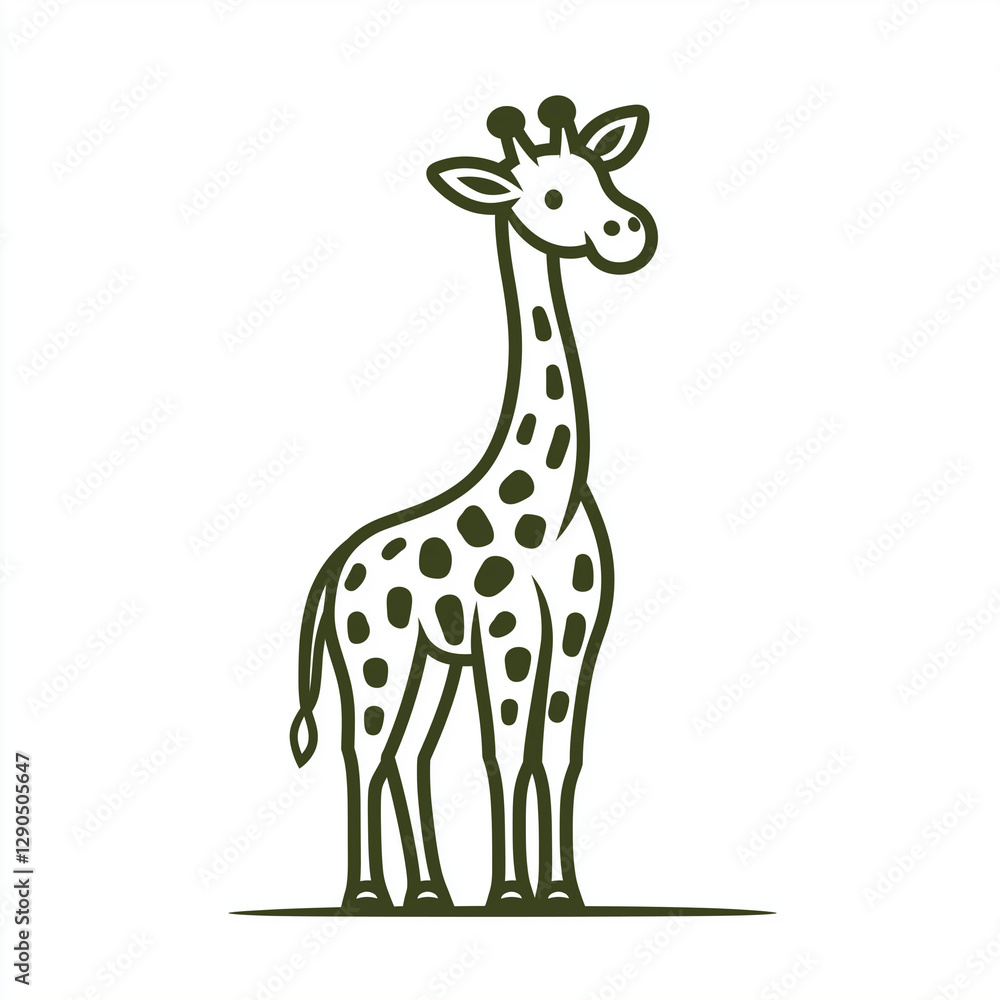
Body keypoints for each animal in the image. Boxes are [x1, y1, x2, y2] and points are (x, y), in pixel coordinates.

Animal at [290, 96, 657, 913]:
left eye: (600, 173)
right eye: (550, 197)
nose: (628, 231)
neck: (548, 502)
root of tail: (335, 570)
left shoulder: (577, 630)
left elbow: (560, 754)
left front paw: (562, 890)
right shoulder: (504, 628)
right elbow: (506, 753)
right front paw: (512, 890)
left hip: (430, 661)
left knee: (409, 754)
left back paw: (427, 891)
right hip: (375, 654)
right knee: (365, 749)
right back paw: (366, 893)